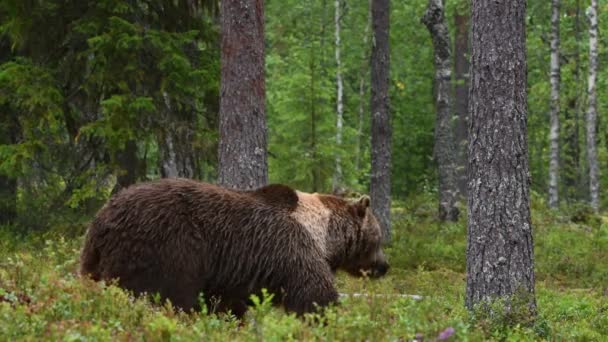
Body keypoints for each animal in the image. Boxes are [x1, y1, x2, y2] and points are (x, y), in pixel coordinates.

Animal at [79, 178, 390, 316]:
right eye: (379, 238)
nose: (384, 266)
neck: (322, 235)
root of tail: (102, 220)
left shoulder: (229, 275)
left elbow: (228, 305)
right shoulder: (293, 249)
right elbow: (313, 294)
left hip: (93, 261)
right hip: (166, 246)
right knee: (167, 294)